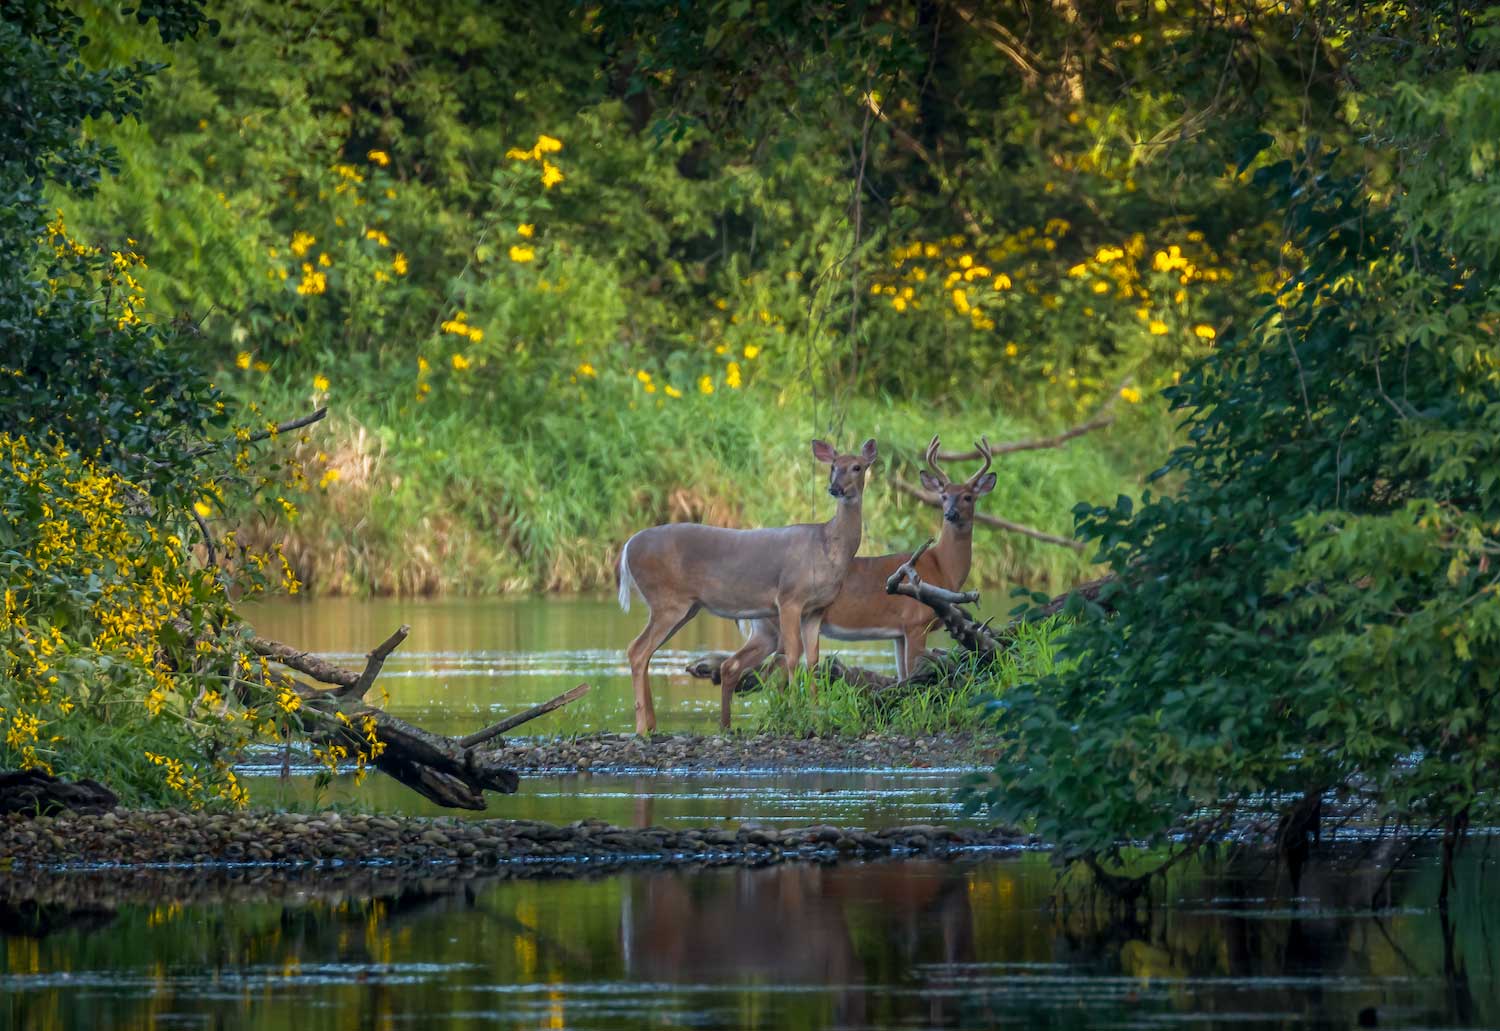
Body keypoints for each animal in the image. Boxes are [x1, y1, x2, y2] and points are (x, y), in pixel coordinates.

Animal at [618, 438, 876, 738]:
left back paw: (652, 724)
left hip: (685, 607)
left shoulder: (816, 608)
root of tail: (627, 546)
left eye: (857, 466)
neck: (827, 547)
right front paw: (795, 716)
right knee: (637, 650)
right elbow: (793, 655)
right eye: (833, 466)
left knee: (646, 652)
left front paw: (816, 715)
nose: (835, 488)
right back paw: (642, 728)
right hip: (667, 600)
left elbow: (813, 660)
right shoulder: (789, 597)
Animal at [717, 432, 996, 684]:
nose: (951, 514)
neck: (942, 566)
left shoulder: (898, 633)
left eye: (968, 497)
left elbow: (903, 676)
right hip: (779, 623)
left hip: (765, 628)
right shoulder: (916, 622)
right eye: (943, 496)